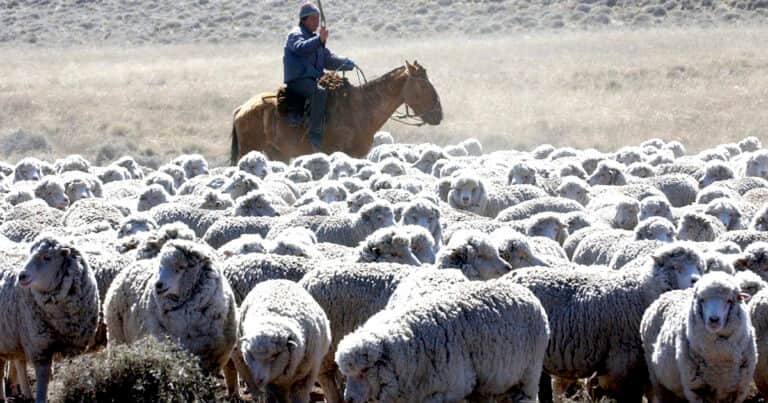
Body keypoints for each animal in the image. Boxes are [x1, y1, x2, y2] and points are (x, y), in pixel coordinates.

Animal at [0, 236, 100, 403]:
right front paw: (40, 398)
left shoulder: (72, 346)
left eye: (47, 257)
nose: (22, 276)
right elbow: (43, 377)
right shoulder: (39, 345)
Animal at [336, 280, 550, 403]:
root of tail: (525, 291)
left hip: (529, 373)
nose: (349, 400)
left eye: (364, 370)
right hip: (489, 383)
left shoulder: (451, 388)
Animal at [505, 243, 704, 402]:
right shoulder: (625, 364)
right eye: (676, 267)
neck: (643, 292)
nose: (696, 280)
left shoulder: (646, 371)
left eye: (699, 267)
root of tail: (510, 277)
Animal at [640, 272, 755, 403]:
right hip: (657, 379)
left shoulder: (739, 390)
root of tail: (671, 292)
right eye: (702, 300)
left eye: (729, 300)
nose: (714, 320)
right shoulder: (695, 389)